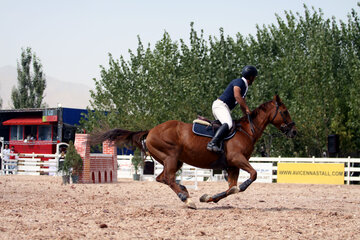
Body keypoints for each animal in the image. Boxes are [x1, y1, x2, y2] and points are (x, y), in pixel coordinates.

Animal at [91, 94, 296, 209]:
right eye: (285, 112)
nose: (294, 131)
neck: (247, 130)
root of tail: (150, 131)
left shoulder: (232, 166)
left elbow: (230, 188)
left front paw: (209, 198)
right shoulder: (237, 159)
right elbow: (251, 176)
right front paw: (238, 187)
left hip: (175, 160)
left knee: (162, 178)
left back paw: (184, 192)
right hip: (171, 157)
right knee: (167, 178)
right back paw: (186, 199)